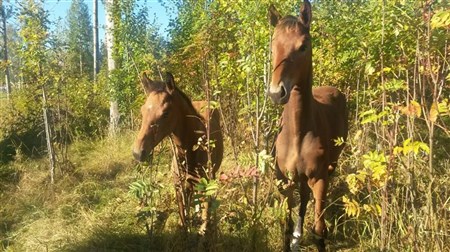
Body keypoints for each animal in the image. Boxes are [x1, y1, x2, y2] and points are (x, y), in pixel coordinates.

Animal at [133, 71, 224, 234]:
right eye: (143, 110)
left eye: (165, 113)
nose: (138, 153)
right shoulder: (179, 186)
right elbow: (183, 220)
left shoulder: (207, 183)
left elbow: (205, 220)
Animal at [268, 0, 348, 251]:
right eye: (272, 46)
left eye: (303, 46)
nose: (276, 93)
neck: (298, 134)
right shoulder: (284, 181)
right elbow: (285, 226)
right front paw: (292, 236)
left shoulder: (319, 179)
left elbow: (319, 231)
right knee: (303, 198)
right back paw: (297, 235)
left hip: (332, 165)